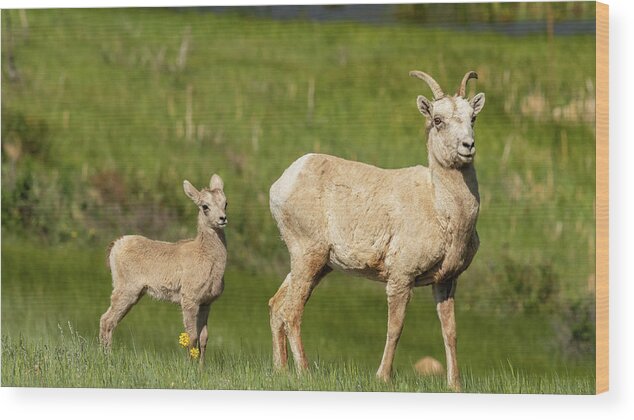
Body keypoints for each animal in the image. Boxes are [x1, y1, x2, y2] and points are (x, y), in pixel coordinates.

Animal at [99, 172, 227, 362]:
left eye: (226, 203)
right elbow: (192, 337)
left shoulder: (206, 302)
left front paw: (202, 367)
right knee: (106, 320)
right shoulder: (189, 298)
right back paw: (106, 358)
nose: (223, 219)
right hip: (126, 288)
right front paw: (190, 366)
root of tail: (115, 245)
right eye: (205, 206)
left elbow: (204, 338)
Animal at [266, 69, 484, 390]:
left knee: (277, 305)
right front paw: (383, 377)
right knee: (292, 310)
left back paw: (281, 371)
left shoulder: (446, 281)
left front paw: (454, 385)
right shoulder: (401, 278)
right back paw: (304, 372)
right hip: (308, 255)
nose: (467, 147)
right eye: (437, 120)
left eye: (473, 118)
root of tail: (283, 182)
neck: (440, 208)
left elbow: (450, 332)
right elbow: (395, 327)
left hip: (318, 264)